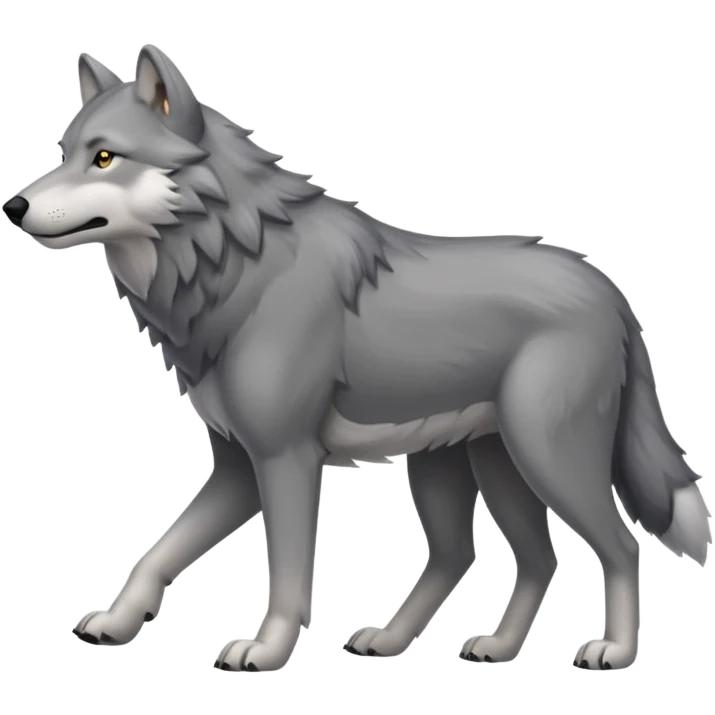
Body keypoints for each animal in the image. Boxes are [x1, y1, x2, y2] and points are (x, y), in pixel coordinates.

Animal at [4, 44, 711, 673]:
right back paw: (455, 645)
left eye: (104, 157)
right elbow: (160, 551)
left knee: (618, 546)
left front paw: (265, 652)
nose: (13, 205)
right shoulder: (236, 466)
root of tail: (610, 292)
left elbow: (288, 573)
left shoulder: (284, 457)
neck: (228, 263)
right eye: (62, 153)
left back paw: (613, 651)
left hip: (546, 458)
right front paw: (118, 621)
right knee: (504, 557)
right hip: (466, 466)